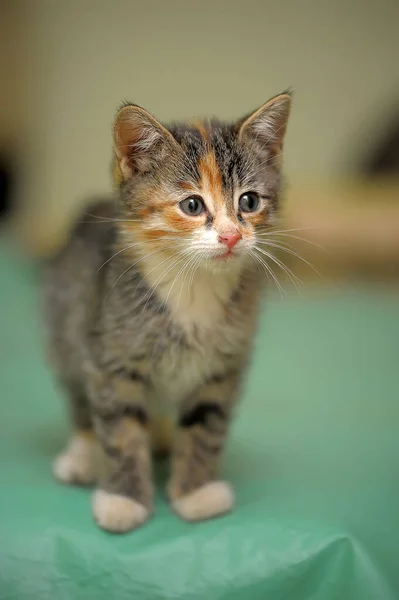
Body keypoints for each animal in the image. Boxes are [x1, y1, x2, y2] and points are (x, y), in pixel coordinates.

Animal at [45, 91, 292, 532]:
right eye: (192, 205)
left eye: (249, 201)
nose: (231, 236)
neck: (195, 284)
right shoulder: (111, 357)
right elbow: (120, 429)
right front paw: (124, 499)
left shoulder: (222, 366)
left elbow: (206, 426)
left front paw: (195, 491)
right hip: (67, 322)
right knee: (80, 399)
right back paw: (82, 454)